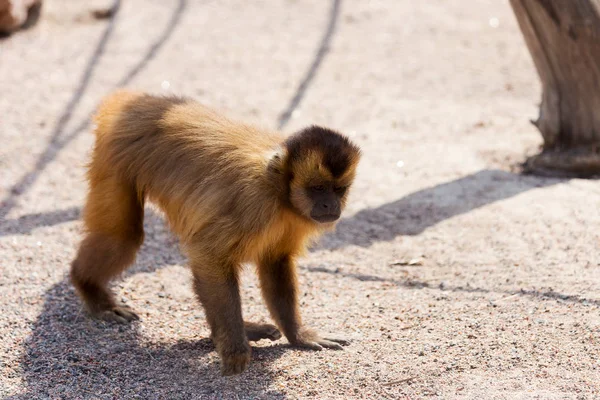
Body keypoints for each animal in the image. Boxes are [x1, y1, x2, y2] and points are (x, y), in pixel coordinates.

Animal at [70, 90, 360, 376]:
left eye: (338, 190)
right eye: (318, 188)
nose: (330, 205)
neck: (279, 190)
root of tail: (141, 99)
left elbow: (275, 260)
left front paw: (298, 336)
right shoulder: (254, 202)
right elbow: (209, 257)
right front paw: (234, 350)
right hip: (116, 150)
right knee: (123, 238)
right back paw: (89, 288)